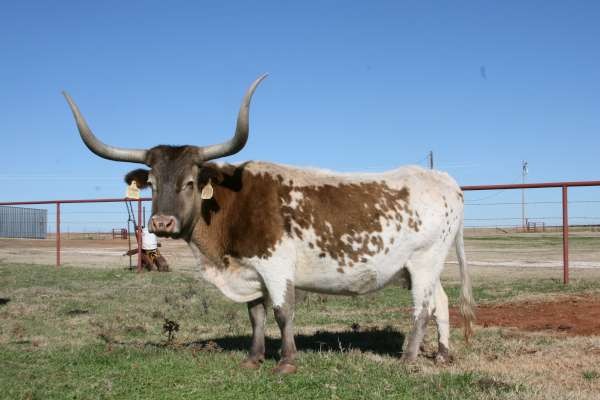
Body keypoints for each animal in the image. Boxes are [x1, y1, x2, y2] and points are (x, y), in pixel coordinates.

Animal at [63, 75, 475, 374]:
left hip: (423, 261)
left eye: (190, 182)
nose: (162, 222)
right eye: (151, 183)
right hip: (424, 266)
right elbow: (256, 315)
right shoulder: (251, 271)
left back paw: (408, 359)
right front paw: (254, 358)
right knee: (440, 301)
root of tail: (444, 180)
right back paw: (442, 354)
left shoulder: (276, 267)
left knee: (422, 307)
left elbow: (281, 311)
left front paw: (287, 362)